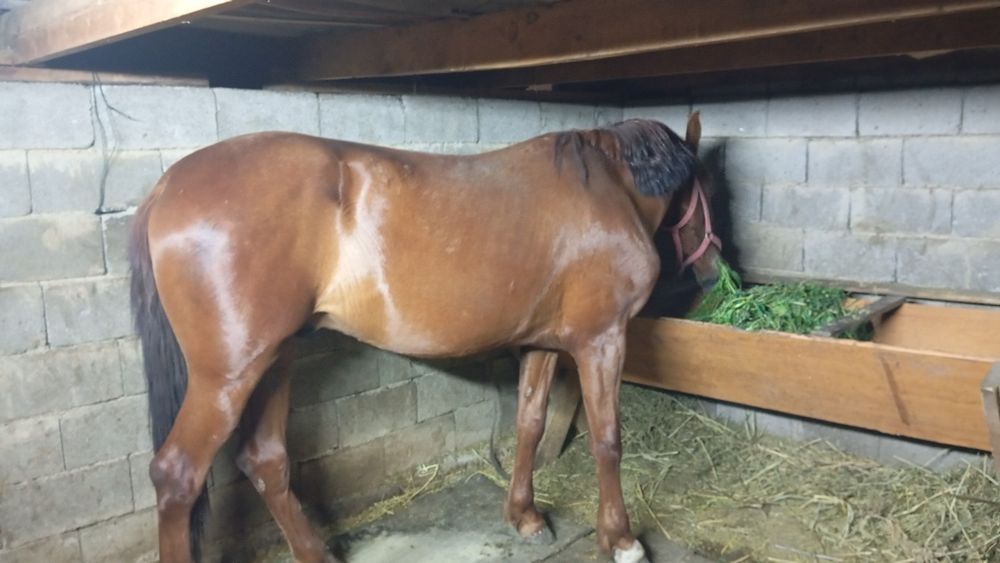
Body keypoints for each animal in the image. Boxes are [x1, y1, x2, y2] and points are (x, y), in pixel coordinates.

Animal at [129, 111, 721, 563]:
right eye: (710, 193)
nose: (715, 270)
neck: (608, 190)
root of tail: (165, 186)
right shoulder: (601, 341)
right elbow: (607, 439)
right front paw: (621, 540)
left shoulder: (544, 344)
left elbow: (529, 425)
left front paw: (524, 516)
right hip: (227, 376)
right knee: (177, 476)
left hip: (274, 359)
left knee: (265, 459)